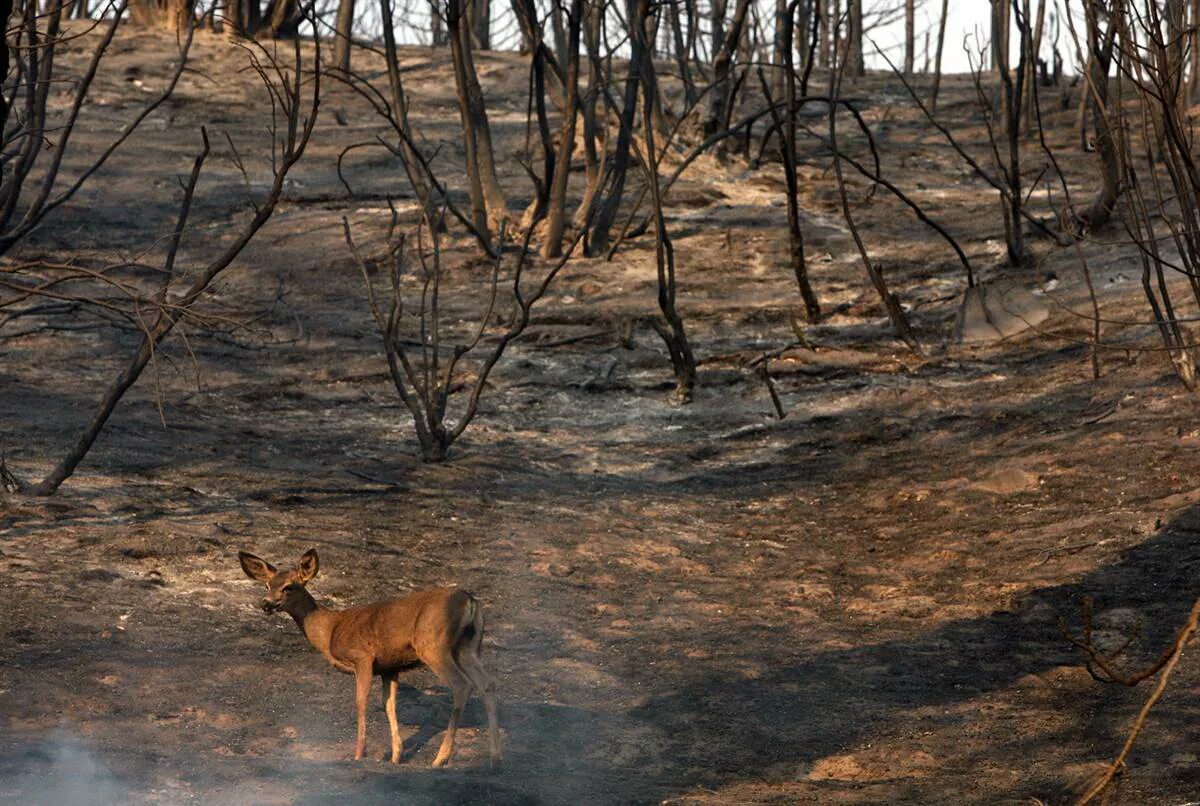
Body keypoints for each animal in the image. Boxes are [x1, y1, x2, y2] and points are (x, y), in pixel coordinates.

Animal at [236, 546, 499, 767]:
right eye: (267, 585)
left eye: (289, 586)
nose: (266, 604)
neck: (330, 630)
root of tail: (470, 600)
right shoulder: (390, 667)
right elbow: (388, 705)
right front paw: (395, 757)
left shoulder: (362, 657)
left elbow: (360, 701)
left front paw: (359, 754)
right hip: (468, 647)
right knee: (486, 683)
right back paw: (496, 755)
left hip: (434, 645)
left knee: (462, 685)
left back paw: (441, 758)